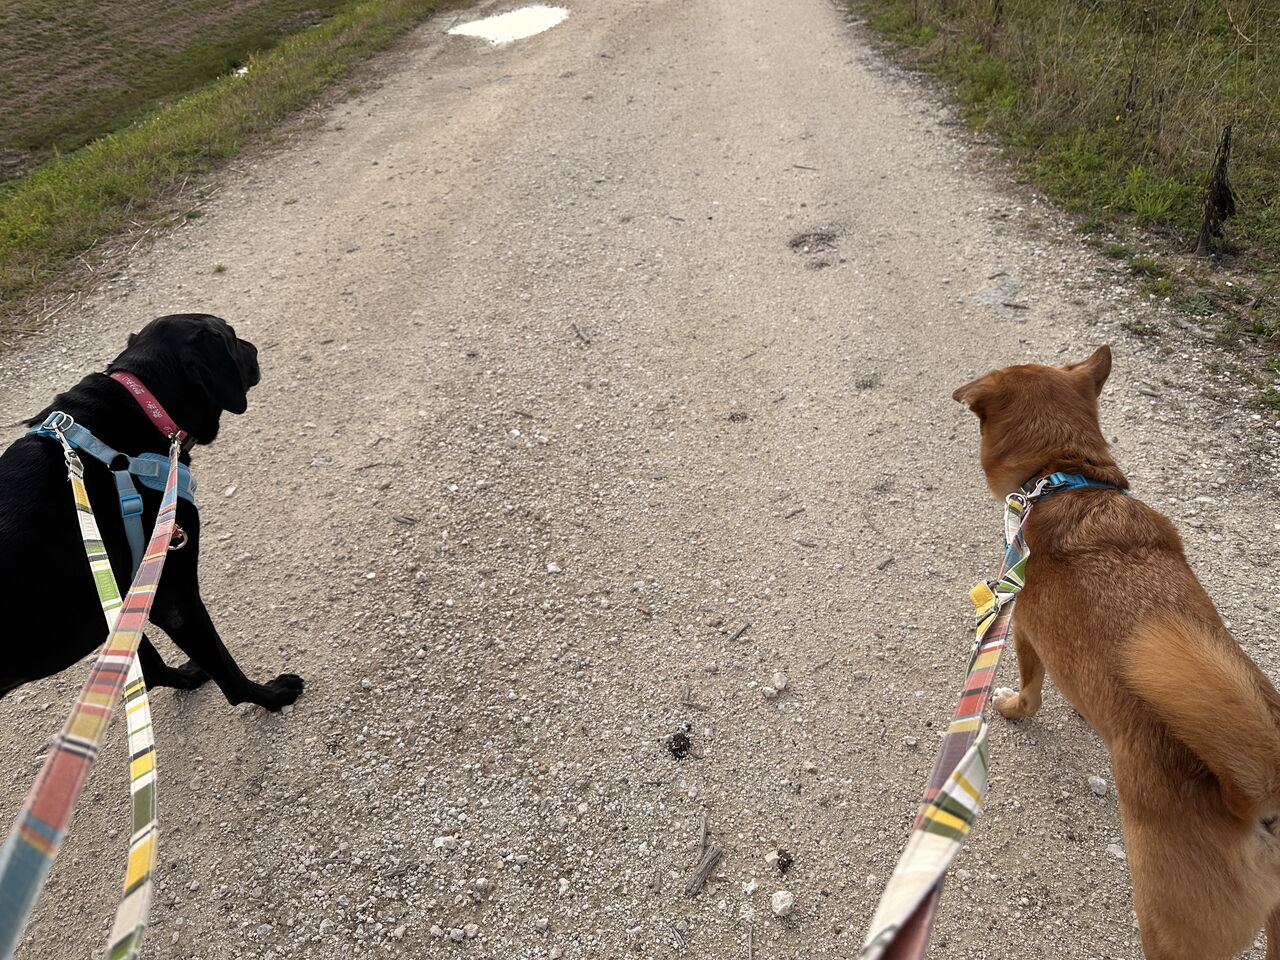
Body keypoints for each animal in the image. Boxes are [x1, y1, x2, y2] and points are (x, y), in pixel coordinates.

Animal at [0, 314, 303, 711]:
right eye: (232, 337)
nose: (253, 348)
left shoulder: (116, 596)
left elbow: (148, 665)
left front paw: (186, 676)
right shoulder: (173, 595)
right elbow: (226, 670)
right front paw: (270, 695)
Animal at [953, 344, 1280, 959]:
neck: (1065, 477)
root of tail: (1259, 800)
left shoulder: (1026, 633)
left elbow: (1031, 691)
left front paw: (1013, 709)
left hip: (1169, 929)